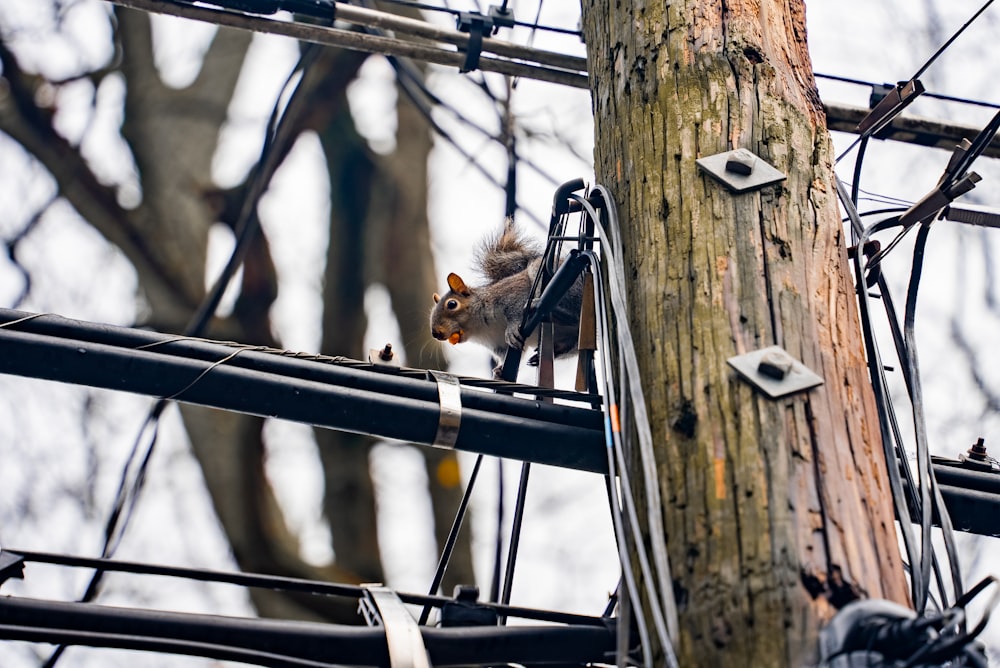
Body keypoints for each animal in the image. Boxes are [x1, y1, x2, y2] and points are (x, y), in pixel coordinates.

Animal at [428, 220, 584, 374]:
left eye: (452, 304)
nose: (435, 333)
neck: (481, 327)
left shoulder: (512, 294)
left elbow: (515, 311)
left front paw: (511, 330)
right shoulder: (499, 346)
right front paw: (499, 371)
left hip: (555, 281)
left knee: (573, 314)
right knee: (570, 343)